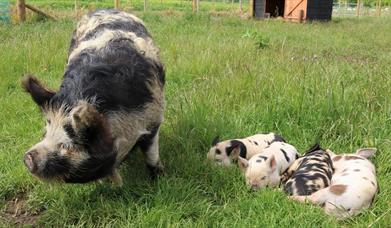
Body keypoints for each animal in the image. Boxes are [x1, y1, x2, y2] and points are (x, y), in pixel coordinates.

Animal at [21, 9, 165, 184]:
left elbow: (151, 153)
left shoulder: (154, 117)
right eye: (45, 132)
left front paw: (158, 179)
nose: (28, 158)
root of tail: (105, 9)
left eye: (67, 146)